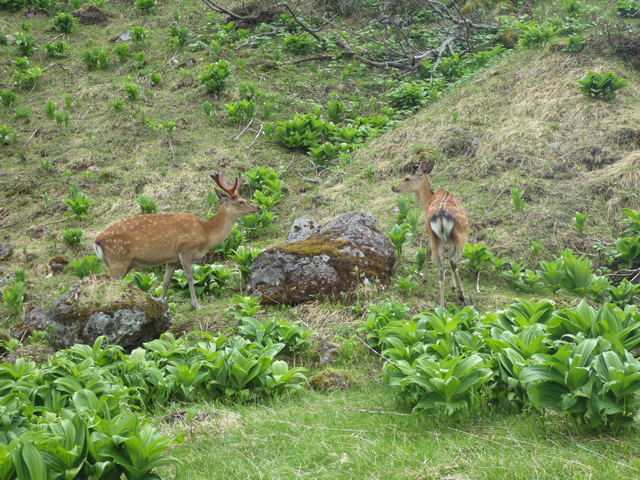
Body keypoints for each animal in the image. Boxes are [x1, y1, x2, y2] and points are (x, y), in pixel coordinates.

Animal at [92, 171, 258, 310]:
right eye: (241, 201)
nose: (257, 207)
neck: (205, 232)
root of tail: (97, 242)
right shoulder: (185, 248)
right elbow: (190, 276)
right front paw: (196, 305)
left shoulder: (172, 259)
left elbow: (166, 281)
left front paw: (161, 302)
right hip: (117, 260)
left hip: (126, 263)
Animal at [390, 162, 470, 308]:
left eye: (407, 178)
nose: (393, 187)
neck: (428, 199)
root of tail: (442, 217)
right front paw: (450, 286)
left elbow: (428, 251)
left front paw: (428, 279)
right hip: (459, 236)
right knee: (450, 262)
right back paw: (455, 298)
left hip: (439, 237)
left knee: (445, 264)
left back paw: (449, 300)